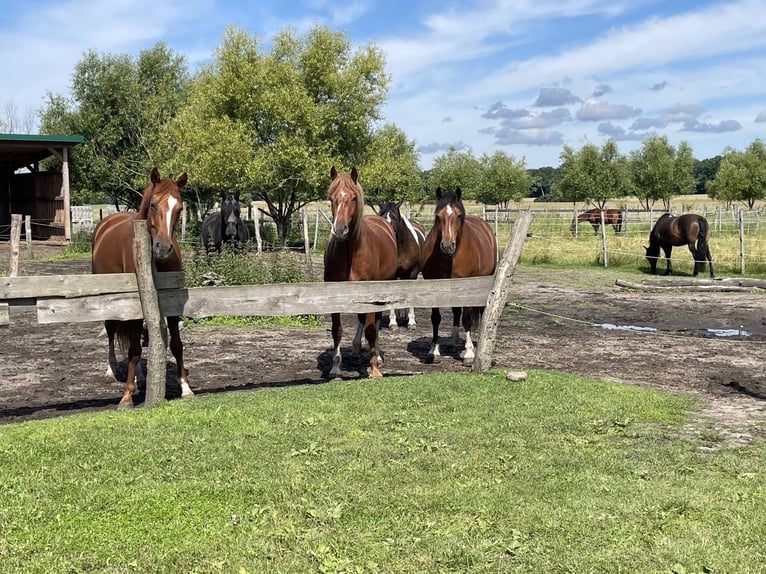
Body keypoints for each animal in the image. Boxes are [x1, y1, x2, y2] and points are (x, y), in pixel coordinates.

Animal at [91, 166, 195, 410]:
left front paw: (185, 387)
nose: (163, 248)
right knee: (112, 332)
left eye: (179, 208)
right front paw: (127, 396)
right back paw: (111, 370)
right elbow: (134, 350)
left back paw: (140, 376)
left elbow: (176, 345)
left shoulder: (173, 306)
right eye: (154, 205)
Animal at [322, 169, 400, 380]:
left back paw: (377, 355)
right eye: (330, 197)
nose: (339, 230)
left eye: (354, 197)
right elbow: (337, 330)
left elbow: (372, 329)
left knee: (376, 320)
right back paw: (357, 350)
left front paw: (374, 369)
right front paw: (335, 367)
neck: (350, 252)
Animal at [420, 187, 498, 366]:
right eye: (437, 215)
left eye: (459, 215)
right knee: (456, 312)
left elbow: (467, 319)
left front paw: (468, 353)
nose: (447, 247)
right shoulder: (435, 286)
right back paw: (453, 341)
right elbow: (436, 318)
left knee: (479, 312)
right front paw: (433, 351)